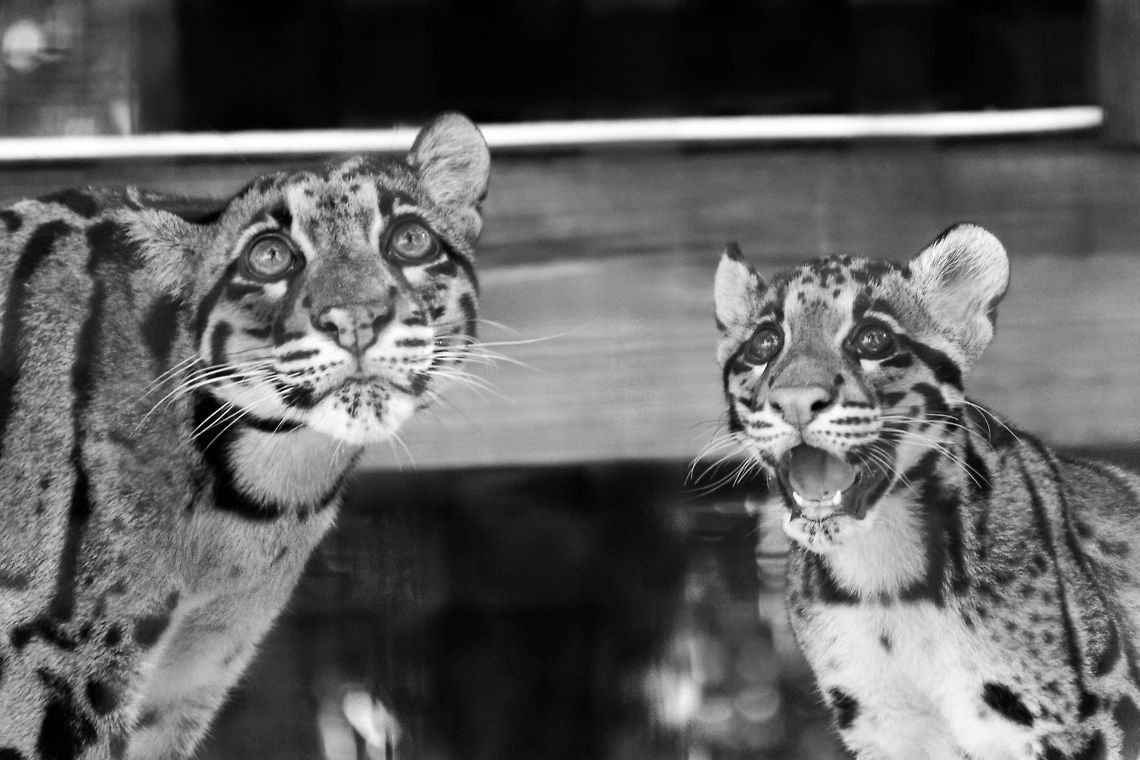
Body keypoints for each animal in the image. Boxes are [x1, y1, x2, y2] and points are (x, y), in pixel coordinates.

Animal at [713, 223, 1140, 759]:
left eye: (872, 339)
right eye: (765, 343)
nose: (793, 402)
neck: (886, 585)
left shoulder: (1083, 726)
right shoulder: (887, 730)